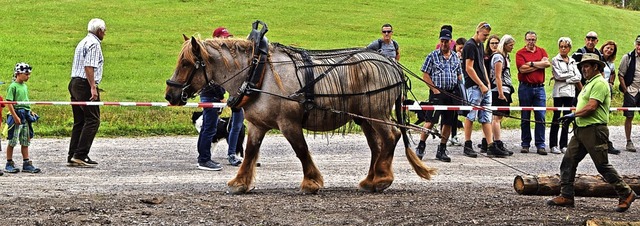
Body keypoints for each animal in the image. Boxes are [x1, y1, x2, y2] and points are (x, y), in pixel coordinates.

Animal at [164, 28, 436, 194]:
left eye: (186, 63)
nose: (170, 95)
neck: (258, 72)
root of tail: (390, 62)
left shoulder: (289, 123)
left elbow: (301, 151)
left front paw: (311, 181)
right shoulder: (257, 125)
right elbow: (250, 153)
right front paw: (240, 182)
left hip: (377, 113)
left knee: (391, 137)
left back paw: (382, 179)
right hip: (365, 118)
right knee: (376, 146)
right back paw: (371, 179)